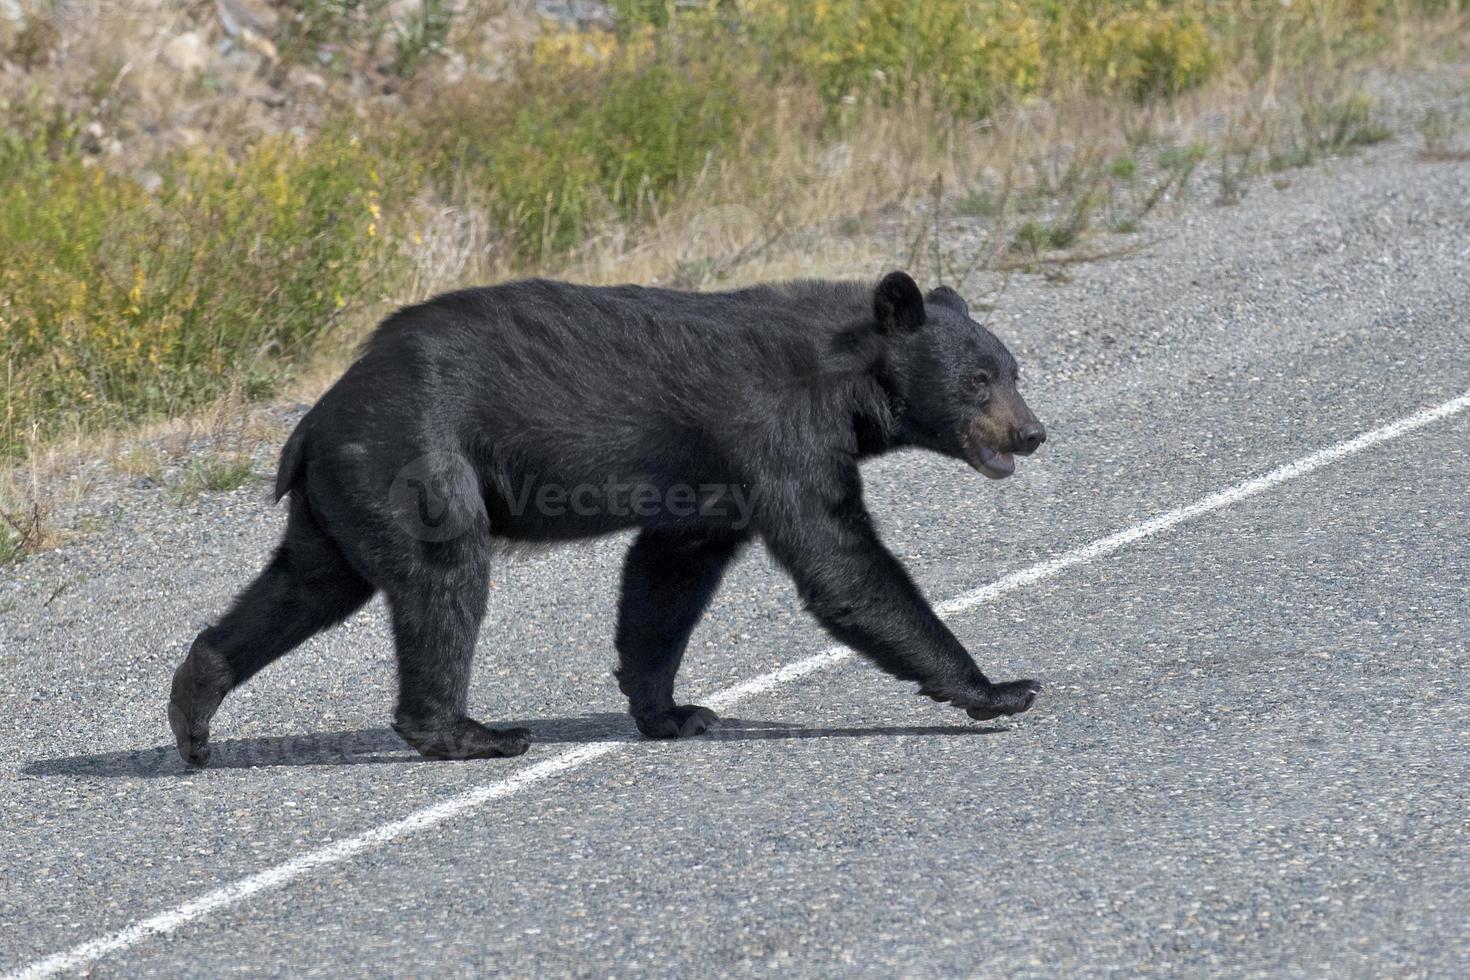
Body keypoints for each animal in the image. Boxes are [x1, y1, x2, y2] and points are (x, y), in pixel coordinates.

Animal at [169, 274, 1046, 764]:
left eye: (1014, 371)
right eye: (978, 379)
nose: (1031, 433)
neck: (848, 386)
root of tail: (316, 421)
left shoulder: (710, 484)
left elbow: (667, 576)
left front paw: (672, 710)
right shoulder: (775, 432)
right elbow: (841, 562)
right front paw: (999, 687)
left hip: (342, 501)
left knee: (304, 585)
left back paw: (194, 708)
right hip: (415, 460)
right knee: (442, 581)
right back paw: (470, 732)